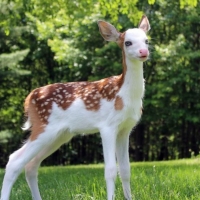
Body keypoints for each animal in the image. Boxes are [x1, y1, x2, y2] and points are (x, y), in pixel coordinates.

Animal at [0, 14, 150, 199]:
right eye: (127, 42)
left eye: (146, 40)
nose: (144, 52)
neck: (124, 94)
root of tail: (29, 98)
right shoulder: (107, 126)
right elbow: (110, 170)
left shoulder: (125, 129)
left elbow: (125, 170)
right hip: (44, 127)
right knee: (14, 161)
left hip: (59, 135)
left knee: (31, 165)